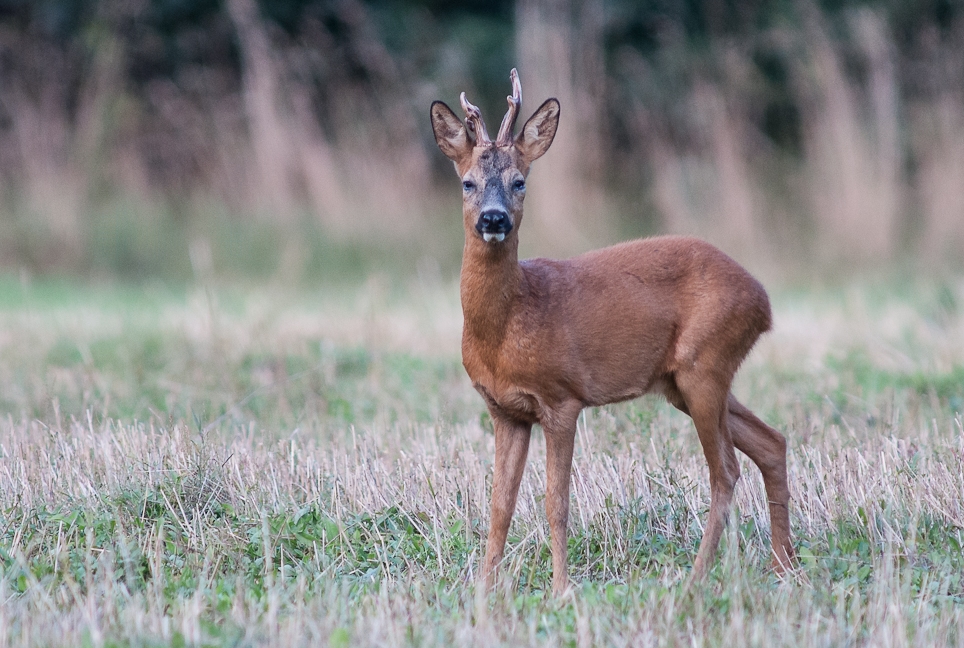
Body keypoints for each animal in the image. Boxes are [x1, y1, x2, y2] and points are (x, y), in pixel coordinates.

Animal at [429, 69, 794, 596]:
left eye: (520, 182)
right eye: (467, 182)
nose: (493, 218)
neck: (506, 327)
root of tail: (763, 302)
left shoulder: (562, 399)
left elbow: (555, 503)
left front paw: (561, 589)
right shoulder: (504, 410)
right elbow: (499, 506)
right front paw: (482, 589)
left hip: (706, 363)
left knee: (725, 471)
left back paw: (697, 578)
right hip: (684, 381)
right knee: (771, 442)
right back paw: (784, 566)